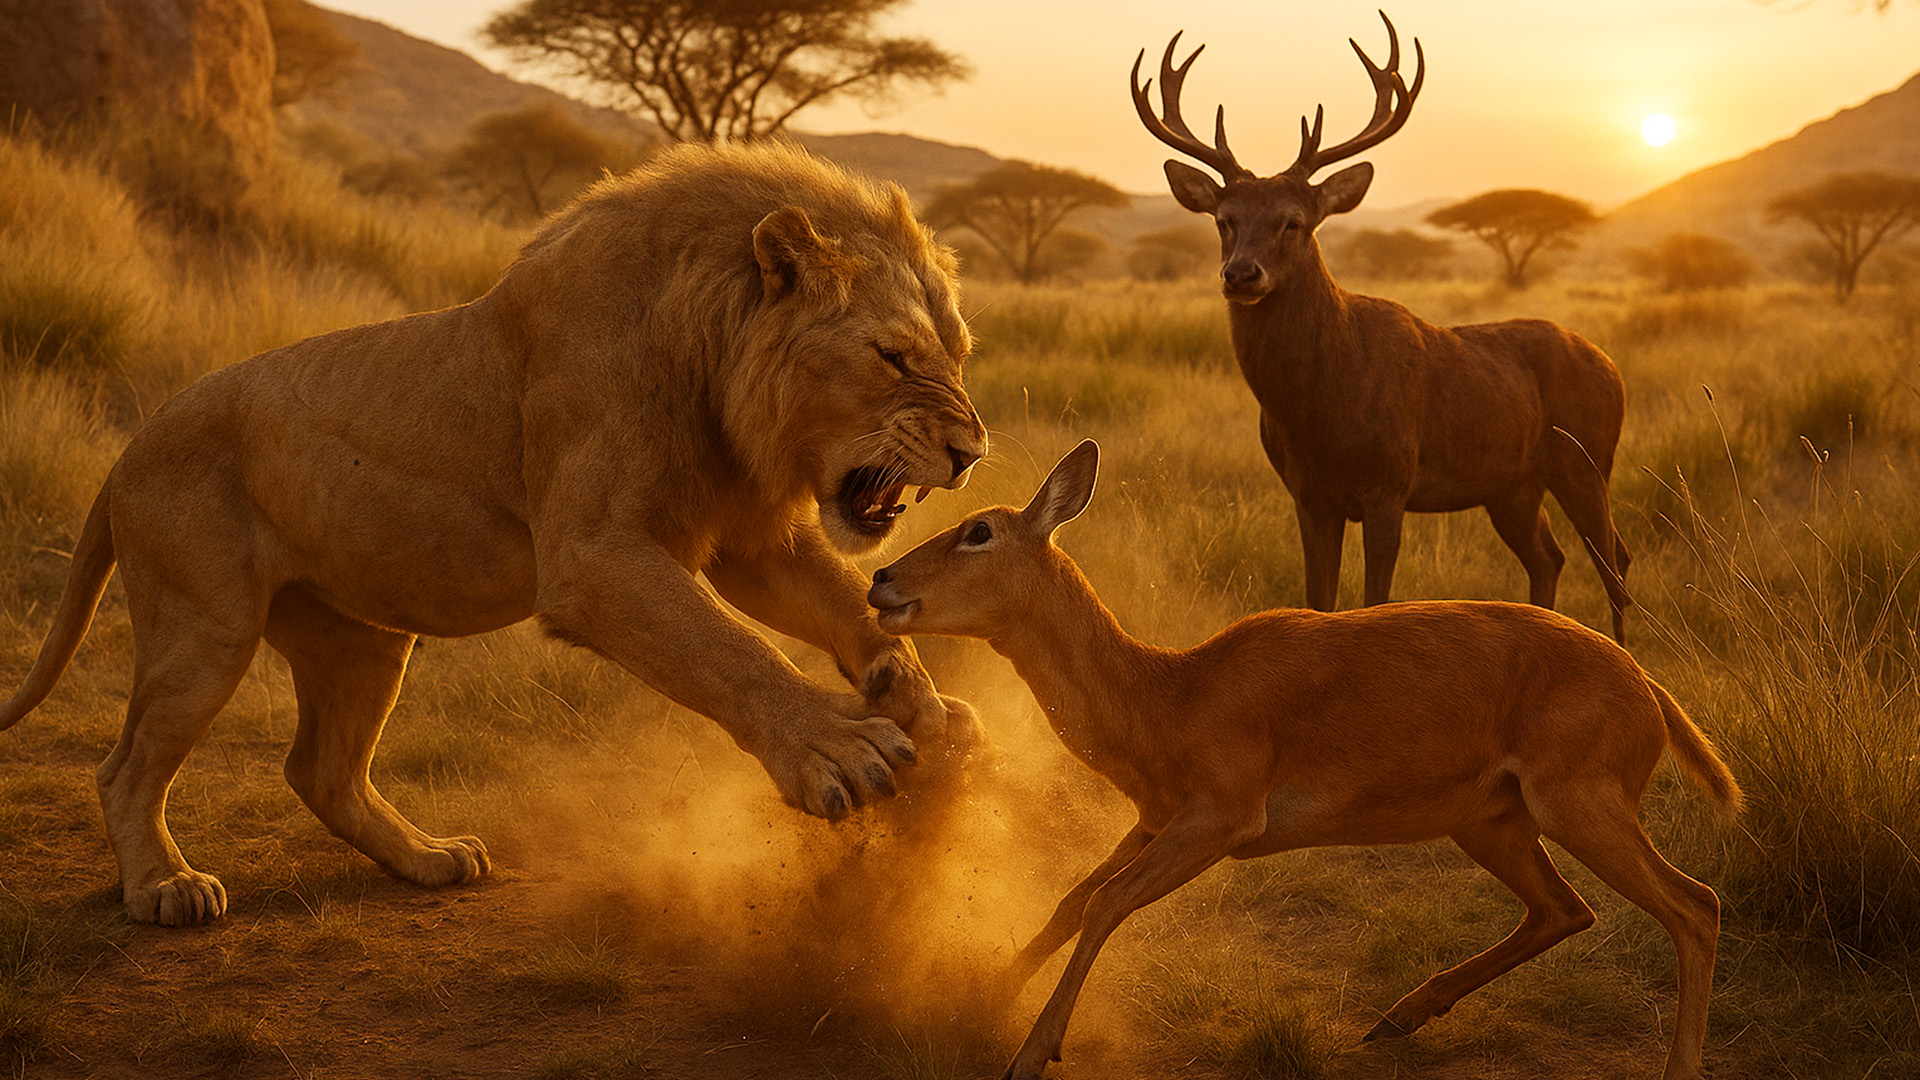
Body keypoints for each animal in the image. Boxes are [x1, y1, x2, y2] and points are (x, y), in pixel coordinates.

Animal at [0, 142, 988, 927]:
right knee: (126, 767)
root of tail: (128, 448)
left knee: (321, 769)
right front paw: (838, 746)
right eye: (893, 356)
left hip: (361, 641)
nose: (972, 453)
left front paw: (923, 704)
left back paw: (428, 859)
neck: (710, 351)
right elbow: (728, 647)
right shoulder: (593, 558)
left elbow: (838, 604)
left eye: (959, 354)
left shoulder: (748, 538)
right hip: (204, 628)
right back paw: (164, 888)